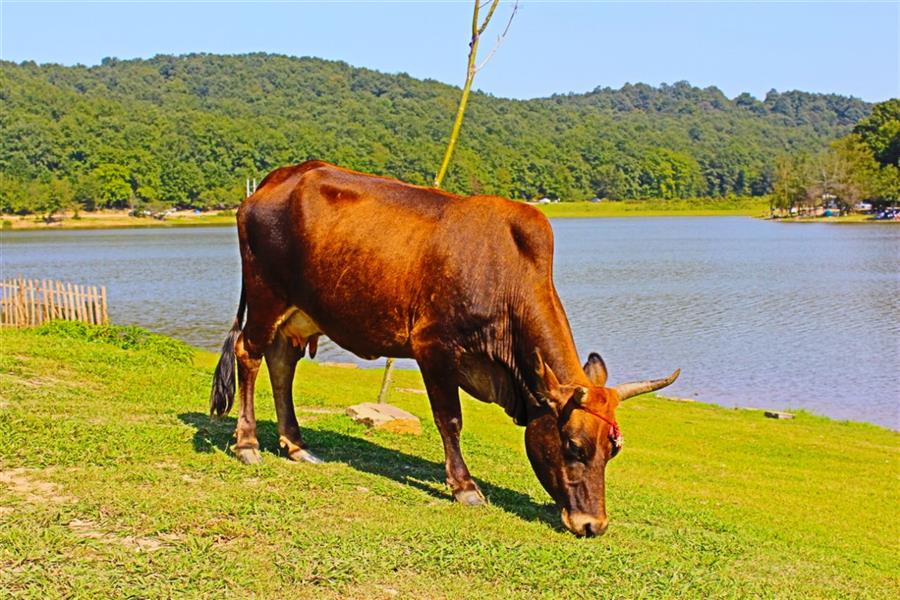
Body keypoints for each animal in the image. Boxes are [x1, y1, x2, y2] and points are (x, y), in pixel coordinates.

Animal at [209, 159, 676, 536]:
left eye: (612, 450)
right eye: (574, 446)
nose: (592, 524)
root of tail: (276, 180)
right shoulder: (434, 348)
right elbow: (450, 420)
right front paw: (465, 487)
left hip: (299, 311)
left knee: (281, 364)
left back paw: (296, 445)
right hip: (266, 298)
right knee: (249, 355)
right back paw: (248, 445)